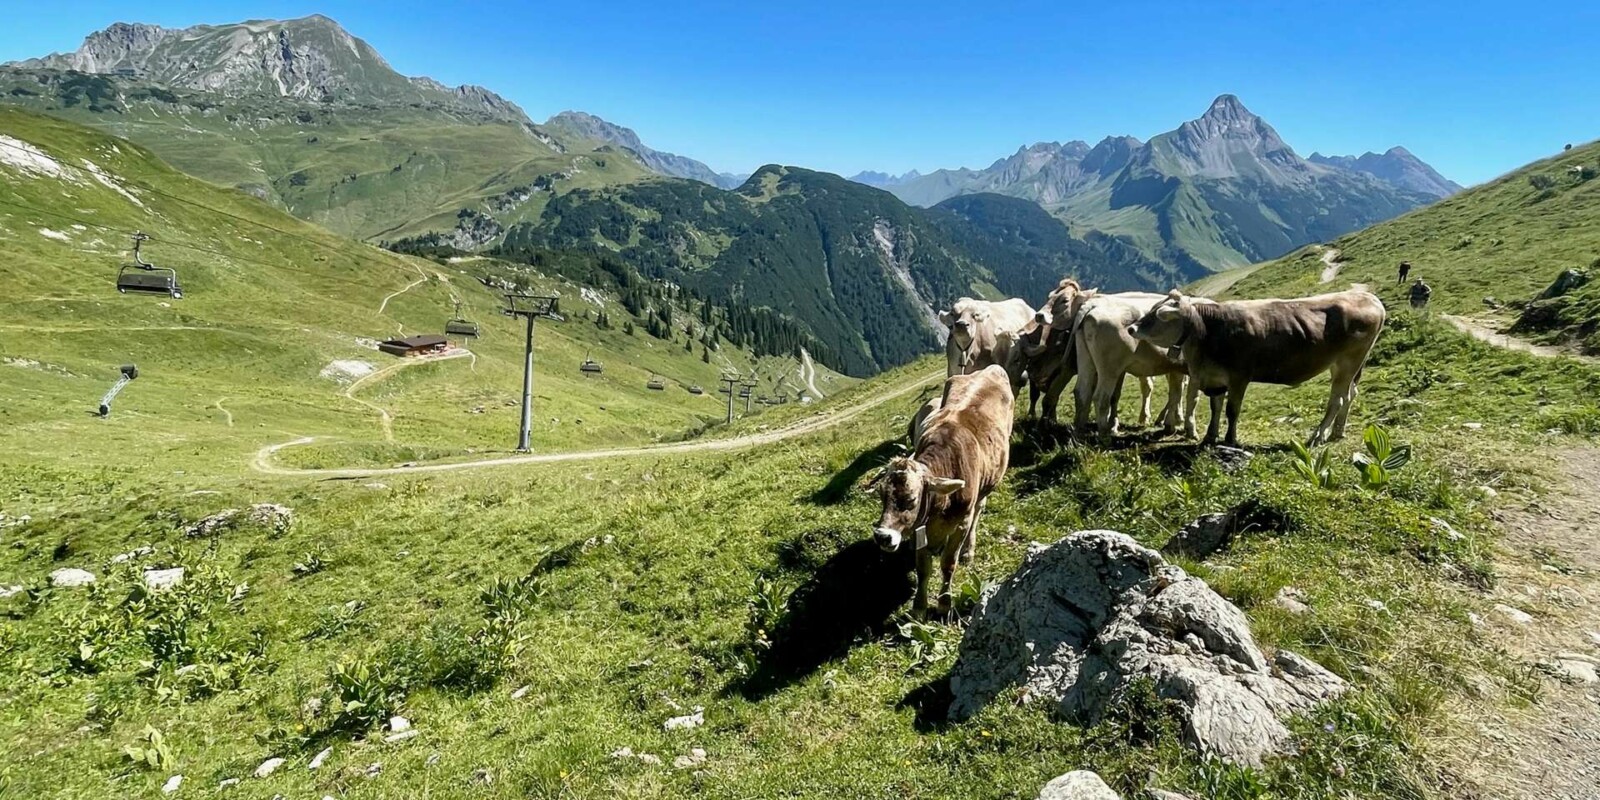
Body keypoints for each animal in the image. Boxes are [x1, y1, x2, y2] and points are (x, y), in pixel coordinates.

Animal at [871, 365, 1014, 616]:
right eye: (881, 495)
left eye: (912, 499)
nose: (882, 536)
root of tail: (992, 368)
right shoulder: (919, 527)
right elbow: (923, 568)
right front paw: (919, 607)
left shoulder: (960, 524)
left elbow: (948, 564)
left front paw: (944, 603)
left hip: (985, 490)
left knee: (979, 511)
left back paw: (968, 551)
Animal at [1129, 289, 1387, 447]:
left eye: (1157, 315)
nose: (1131, 328)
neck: (1207, 332)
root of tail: (1368, 297)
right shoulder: (1214, 378)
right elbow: (1215, 408)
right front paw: (1210, 437)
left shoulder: (1239, 376)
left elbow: (1232, 410)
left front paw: (1230, 439)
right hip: (1344, 365)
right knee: (1350, 394)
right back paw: (1337, 432)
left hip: (1349, 362)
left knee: (1338, 399)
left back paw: (1317, 435)